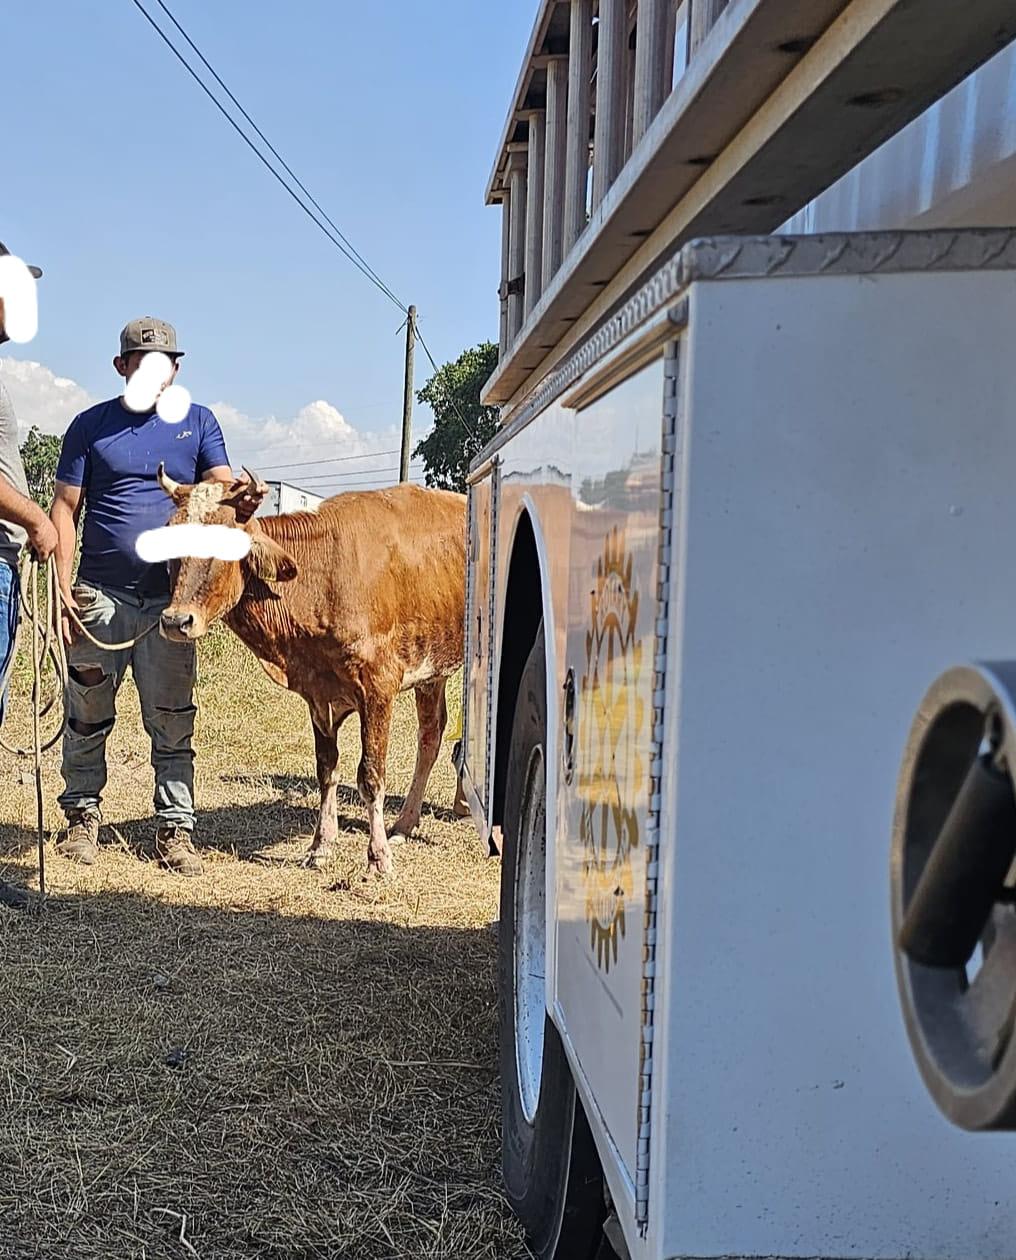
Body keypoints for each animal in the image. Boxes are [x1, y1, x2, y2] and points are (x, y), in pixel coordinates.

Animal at [156, 471, 468, 876]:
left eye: (226, 543)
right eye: (169, 536)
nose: (175, 621)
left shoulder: (378, 687)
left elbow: (370, 775)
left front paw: (378, 857)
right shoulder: (318, 695)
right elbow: (327, 770)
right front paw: (321, 845)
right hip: (432, 670)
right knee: (431, 734)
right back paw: (404, 823)